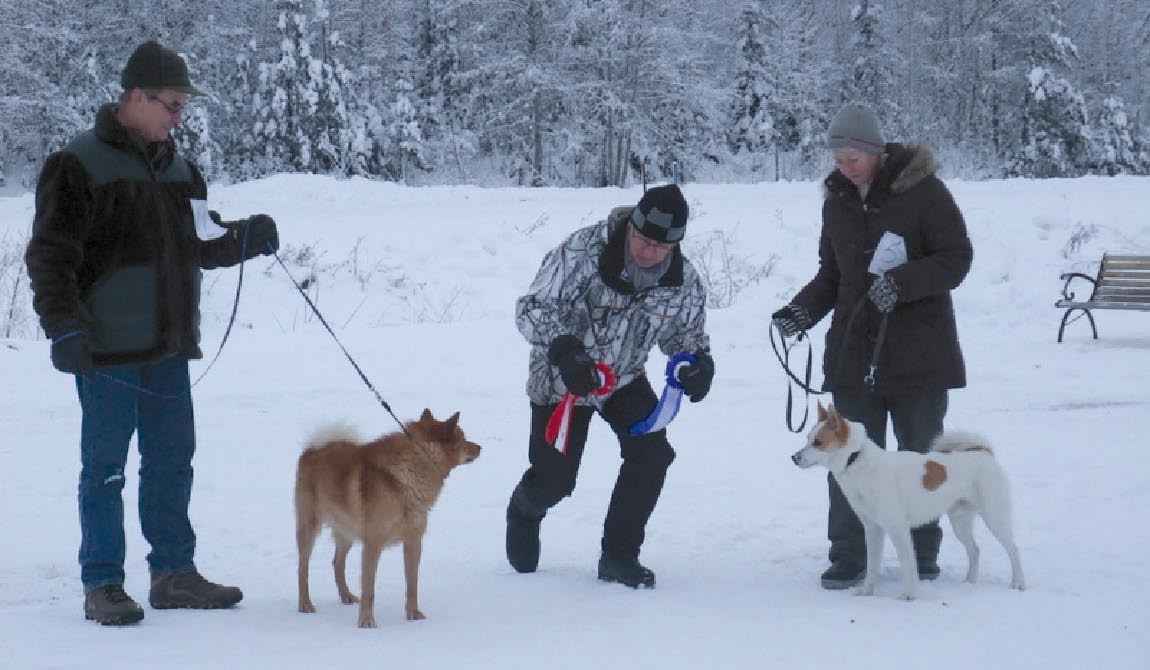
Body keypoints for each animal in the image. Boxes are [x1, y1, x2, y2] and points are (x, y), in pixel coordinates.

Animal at [296, 409, 480, 629]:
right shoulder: (373, 544)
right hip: (308, 528)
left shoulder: (413, 543)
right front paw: (366, 621)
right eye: (463, 438)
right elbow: (369, 590)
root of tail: (311, 450)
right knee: (303, 569)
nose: (480, 447)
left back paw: (346, 596)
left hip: (346, 531)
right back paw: (305, 605)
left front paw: (413, 614)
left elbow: (412, 585)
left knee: (337, 563)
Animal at [791, 402, 1025, 602]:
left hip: (995, 517)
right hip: (960, 522)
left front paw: (910, 595)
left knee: (1013, 549)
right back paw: (969, 582)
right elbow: (872, 563)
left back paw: (1018, 583)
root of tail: (985, 453)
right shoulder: (873, 528)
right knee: (975, 550)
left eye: (818, 442)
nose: (794, 458)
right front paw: (867, 592)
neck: (855, 459)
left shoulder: (897, 528)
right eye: (807, 438)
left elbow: (908, 563)